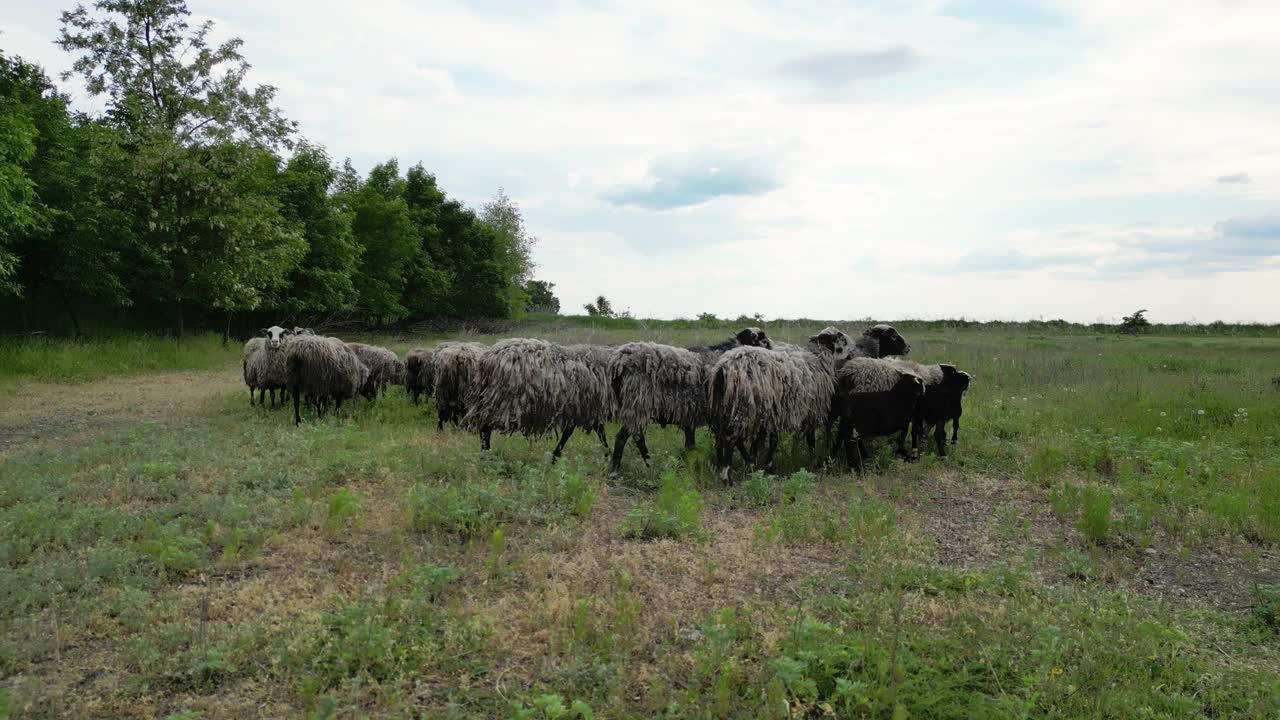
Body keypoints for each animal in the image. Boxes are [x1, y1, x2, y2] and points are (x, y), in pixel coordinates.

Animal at [706, 327, 855, 479]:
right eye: (839, 338)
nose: (851, 352)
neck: (817, 358)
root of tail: (723, 368)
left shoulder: (775, 413)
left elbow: (771, 440)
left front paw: (765, 464)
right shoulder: (810, 411)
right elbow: (810, 439)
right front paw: (813, 462)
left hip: (727, 407)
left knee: (727, 436)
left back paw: (746, 464)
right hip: (744, 407)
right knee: (731, 438)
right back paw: (727, 475)